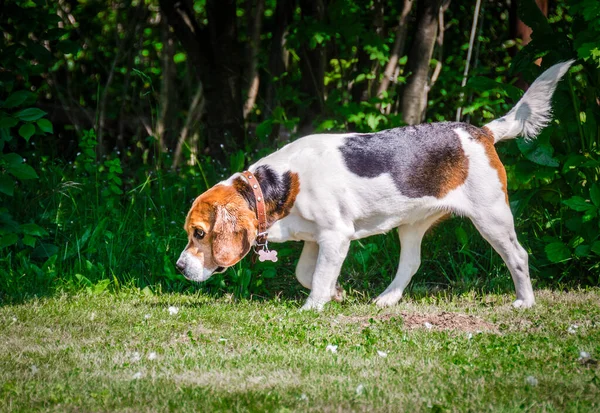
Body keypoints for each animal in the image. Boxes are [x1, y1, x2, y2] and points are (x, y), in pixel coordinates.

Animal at [177, 61, 572, 308]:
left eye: (200, 234)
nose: (180, 267)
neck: (276, 185)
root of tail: (481, 132)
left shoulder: (335, 236)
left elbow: (317, 279)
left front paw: (313, 307)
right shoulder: (316, 239)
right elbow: (307, 274)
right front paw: (335, 294)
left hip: (492, 217)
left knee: (518, 256)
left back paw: (525, 301)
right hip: (412, 224)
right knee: (411, 263)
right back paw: (387, 299)